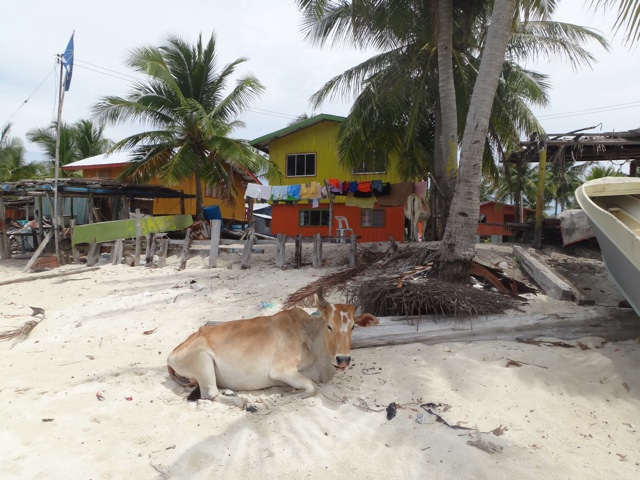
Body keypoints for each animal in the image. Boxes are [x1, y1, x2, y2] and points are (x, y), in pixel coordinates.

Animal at [166, 288, 380, 408]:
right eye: (329, 326)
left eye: (353, 327)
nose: (343, 360)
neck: (310, 336)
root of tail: (173, 353)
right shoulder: (281, 371)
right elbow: (312, 388)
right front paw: (286, 395)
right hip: (203, 360)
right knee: (210, 394)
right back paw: (244, 402)